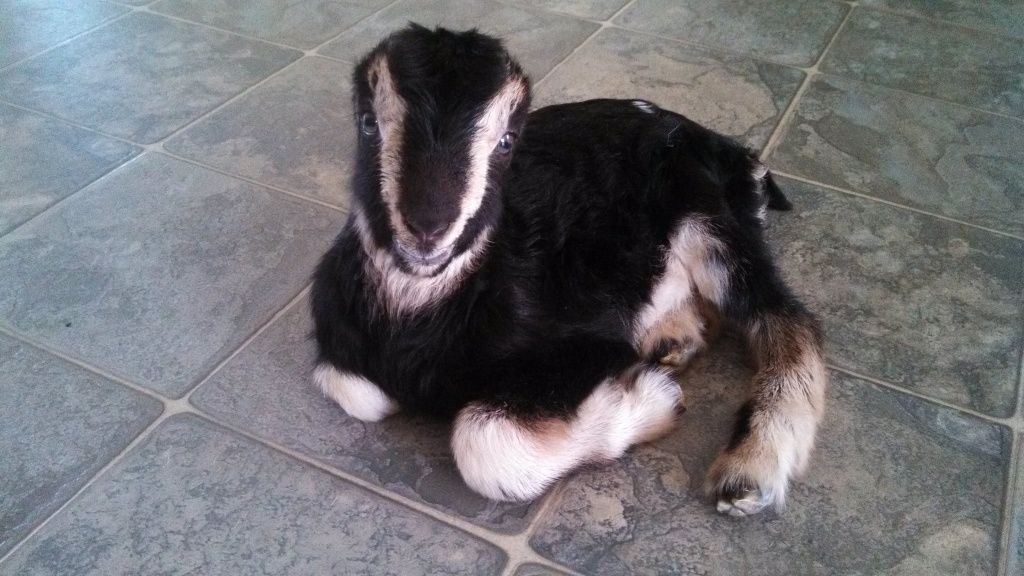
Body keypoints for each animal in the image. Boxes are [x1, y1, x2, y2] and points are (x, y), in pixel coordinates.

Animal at [310, 24, 826, 516]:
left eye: (507, 140)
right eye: (368, 123)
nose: (427, 229)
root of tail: (710, 139)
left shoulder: (580, 348)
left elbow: (486, 445)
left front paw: (654, 400)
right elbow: (354, 390)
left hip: (701, 211)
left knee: (783, 314)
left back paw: (750, 471)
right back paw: (674, 338)